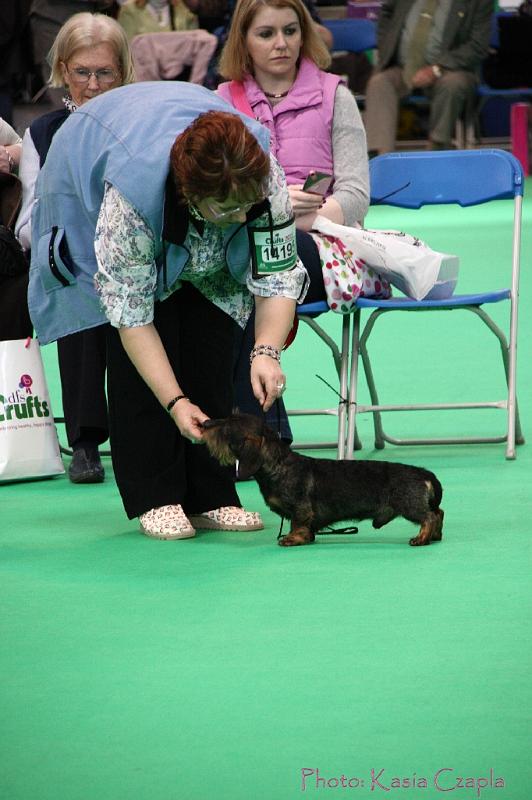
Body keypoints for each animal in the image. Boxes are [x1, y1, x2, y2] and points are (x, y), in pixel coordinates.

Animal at [202, 416, 442, 548]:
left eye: (227, 428)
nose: (204, 423)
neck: (279, 465)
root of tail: (423, 473)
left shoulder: (300, 508)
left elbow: (298, 523)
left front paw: (293, 538)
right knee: (438, 512)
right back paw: (435, 535)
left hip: (408, 505)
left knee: (429, 516)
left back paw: (421, 538)